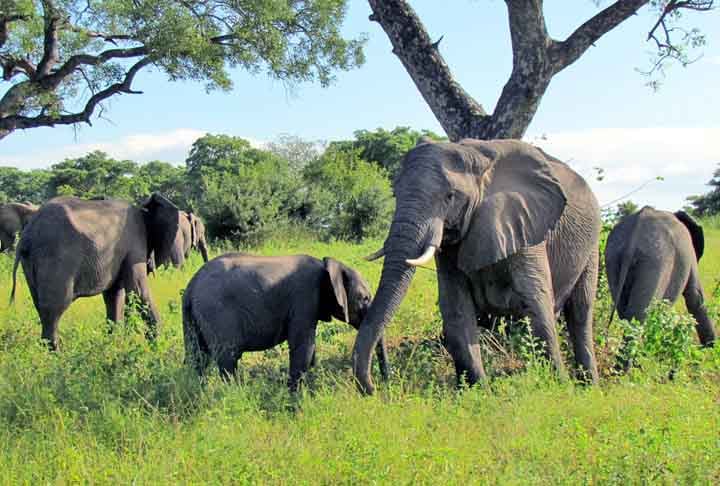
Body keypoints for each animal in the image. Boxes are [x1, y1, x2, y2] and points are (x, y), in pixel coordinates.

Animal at [10, 192, 183, 348]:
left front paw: (113, 346)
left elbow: (113, 296)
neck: (143, 210)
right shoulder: (135, 245)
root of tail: (27, 235)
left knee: (40, 306)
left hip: (31, 260)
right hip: (55, 256)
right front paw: (157, 345)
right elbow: (138, 291)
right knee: (54, 308)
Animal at [183, 252, 390, 390]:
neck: (327, 266)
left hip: (193, 316)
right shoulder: (304, 298)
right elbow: (304, 348)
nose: (377, 389)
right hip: (217, 312)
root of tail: (191, 285)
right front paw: (296, 403)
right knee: (228, 359)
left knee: (197, 358)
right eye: (364, 299)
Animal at [356, 138, 600, 394]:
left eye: (450, 196)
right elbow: (455, 307)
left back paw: (590, 387)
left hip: (592, 248)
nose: (375, 387)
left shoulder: (525, 223)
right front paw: (479, 392)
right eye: (395, 194)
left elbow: (537, 300)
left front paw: (560, 388)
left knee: (580, 312)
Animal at [604, 205, 716, 350]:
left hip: (613, 257)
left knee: (625, 313)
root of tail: (633, 238)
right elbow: (695, 296)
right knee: (639, 315)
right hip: (655, 261)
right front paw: (711, 348)